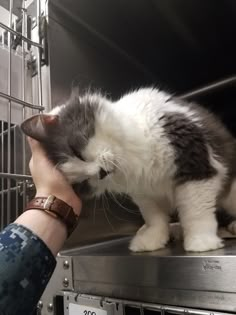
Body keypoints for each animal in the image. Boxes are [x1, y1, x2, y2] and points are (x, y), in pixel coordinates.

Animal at [20, 87, 236, 253]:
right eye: (83, 183)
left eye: (76, 151)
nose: (100, 173)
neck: (132, 160)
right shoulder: (145, 194)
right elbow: (155, 218)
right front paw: (151, 241)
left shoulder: (194, 166)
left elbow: (195, 211)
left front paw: (201, 242)